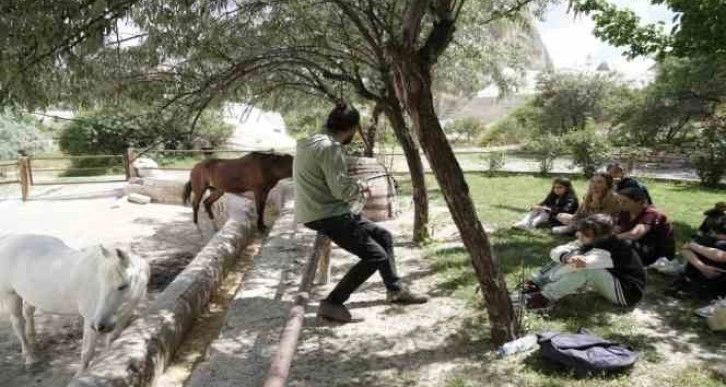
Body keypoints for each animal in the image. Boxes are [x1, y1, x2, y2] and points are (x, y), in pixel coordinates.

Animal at [0, 235, 150, 374]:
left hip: (31, 295)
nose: (100, 325)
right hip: (10, 295)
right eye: (101, 284)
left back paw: (33, 342)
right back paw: (30, 357)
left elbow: (111, 340)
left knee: (28, 312)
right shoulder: (90, 320)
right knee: (18, 323)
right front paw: (81, 374)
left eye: (123, 286)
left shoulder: (124, 315)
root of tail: (8, 239)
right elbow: (87, 352)